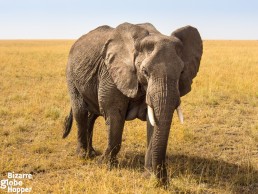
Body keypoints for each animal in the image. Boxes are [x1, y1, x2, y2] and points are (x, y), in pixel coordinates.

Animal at [62, 22, 202, 186]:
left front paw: (149, 176)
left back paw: (92, 153)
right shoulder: (111, 74)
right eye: (145, 71)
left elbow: (153, 122)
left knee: (92, 116)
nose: (164, 181)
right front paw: (104, 165)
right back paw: (84, 156)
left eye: (181, 72)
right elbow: (114, 116)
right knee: (80, 112)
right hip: (71, 74)